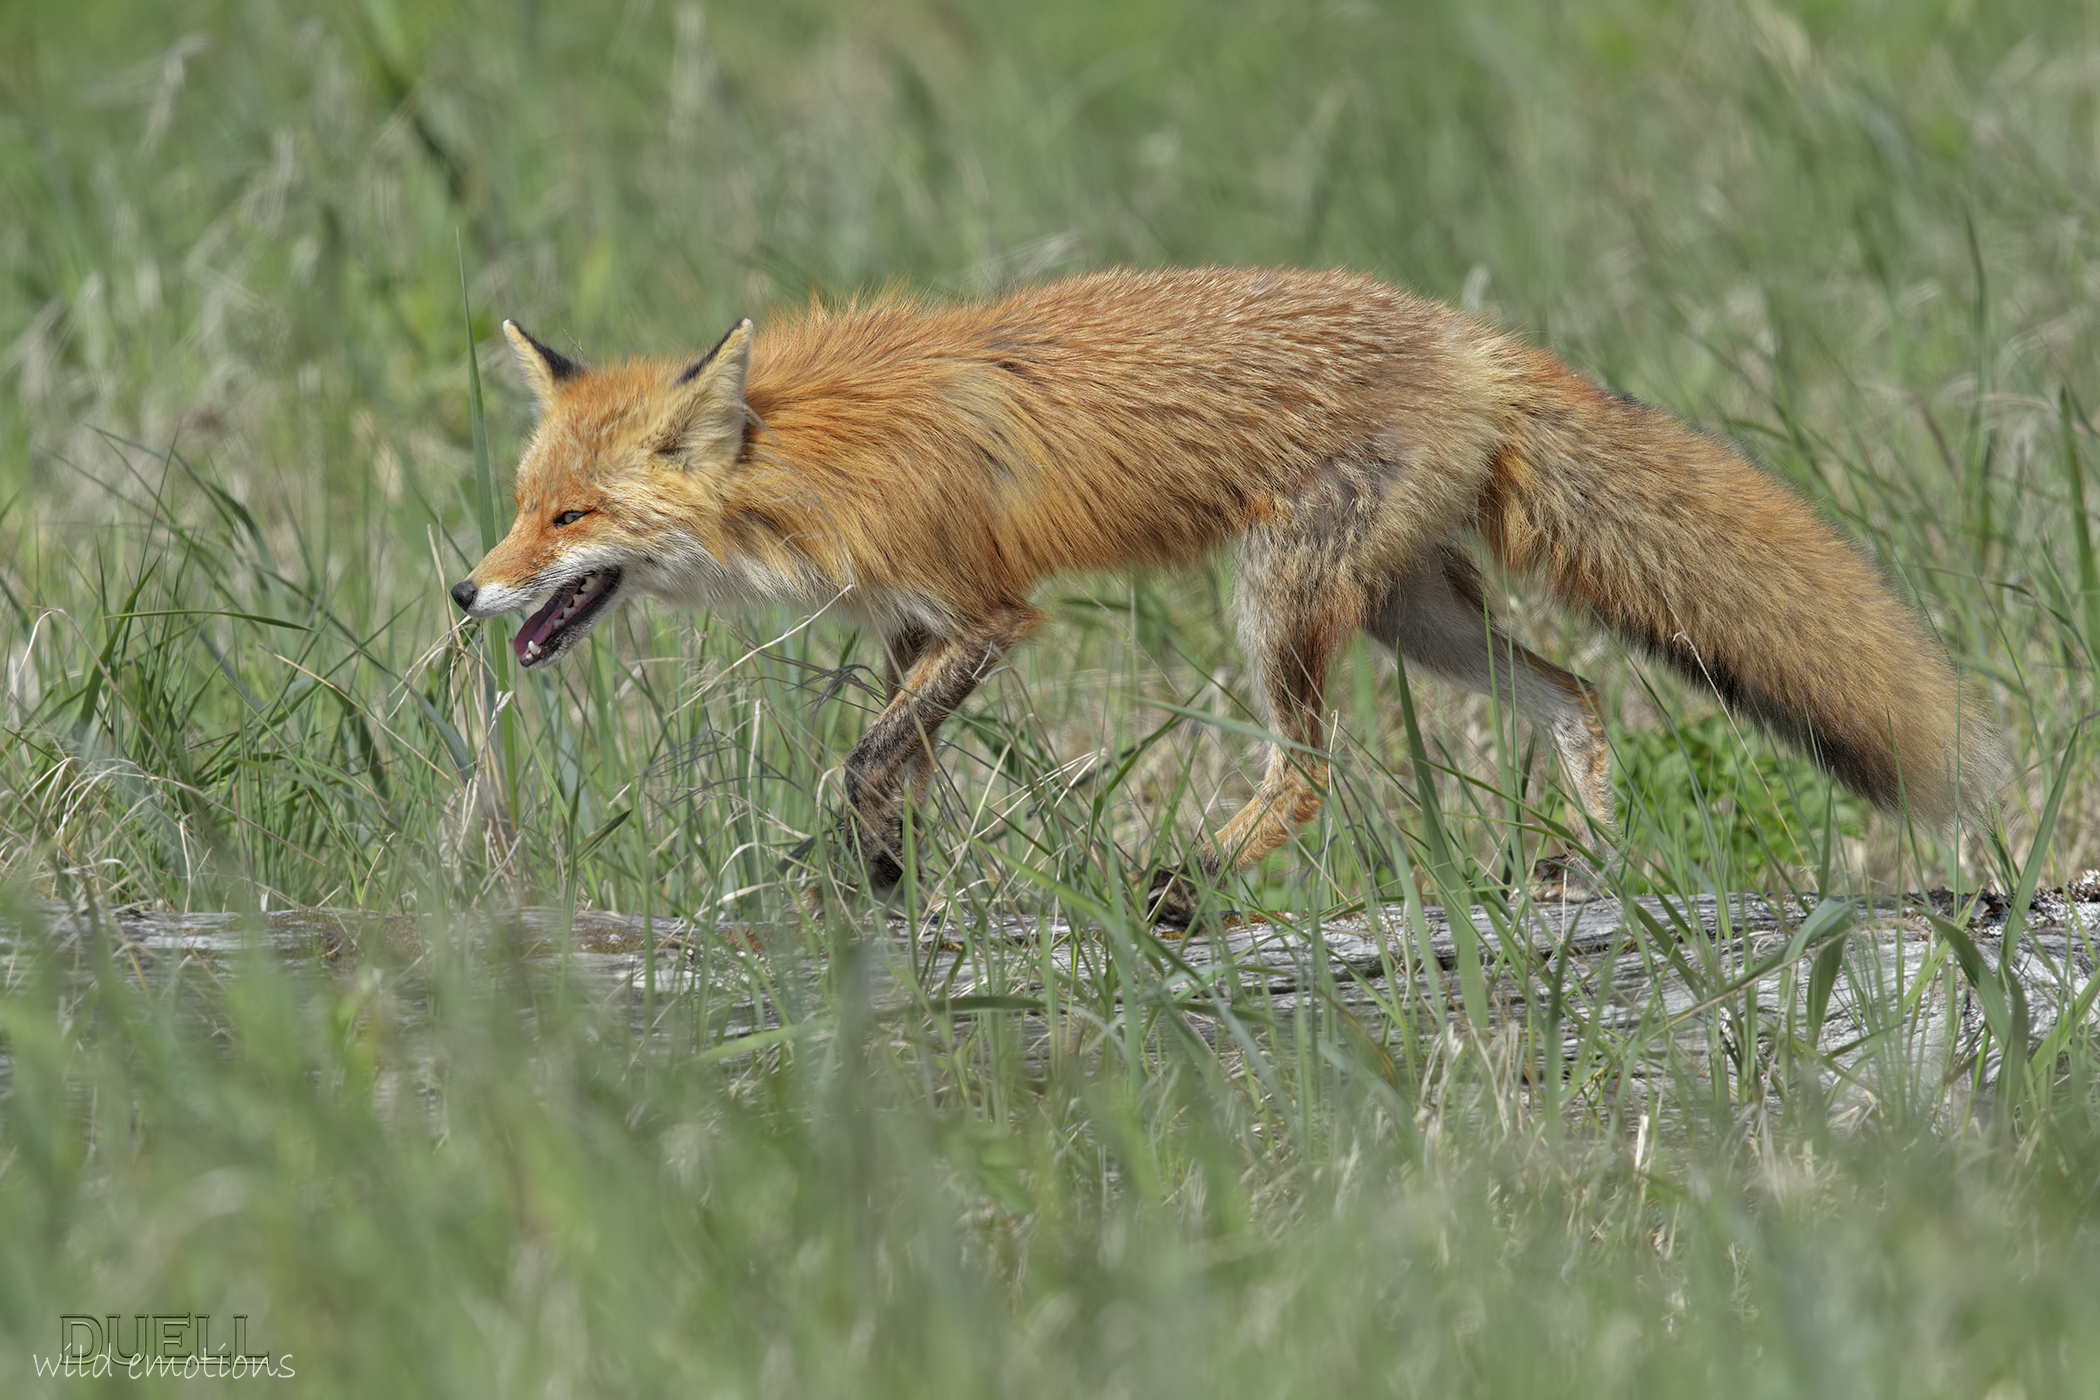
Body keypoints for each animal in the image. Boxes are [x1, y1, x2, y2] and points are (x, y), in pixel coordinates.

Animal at [450, 266, 2003, 926]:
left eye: (570, 518)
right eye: (524, 502)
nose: (467, 589)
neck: (810, 453)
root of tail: (1469, 339)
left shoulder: (991, 615)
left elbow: (868, 756)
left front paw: (873, 878)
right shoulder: (917, 627)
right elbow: (889, 770)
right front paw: (878, 889)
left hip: (1287, 607)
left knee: (1310, 776)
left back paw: (1180, 885)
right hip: (1418, 618)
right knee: (1578, 690)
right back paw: (1586, 866)